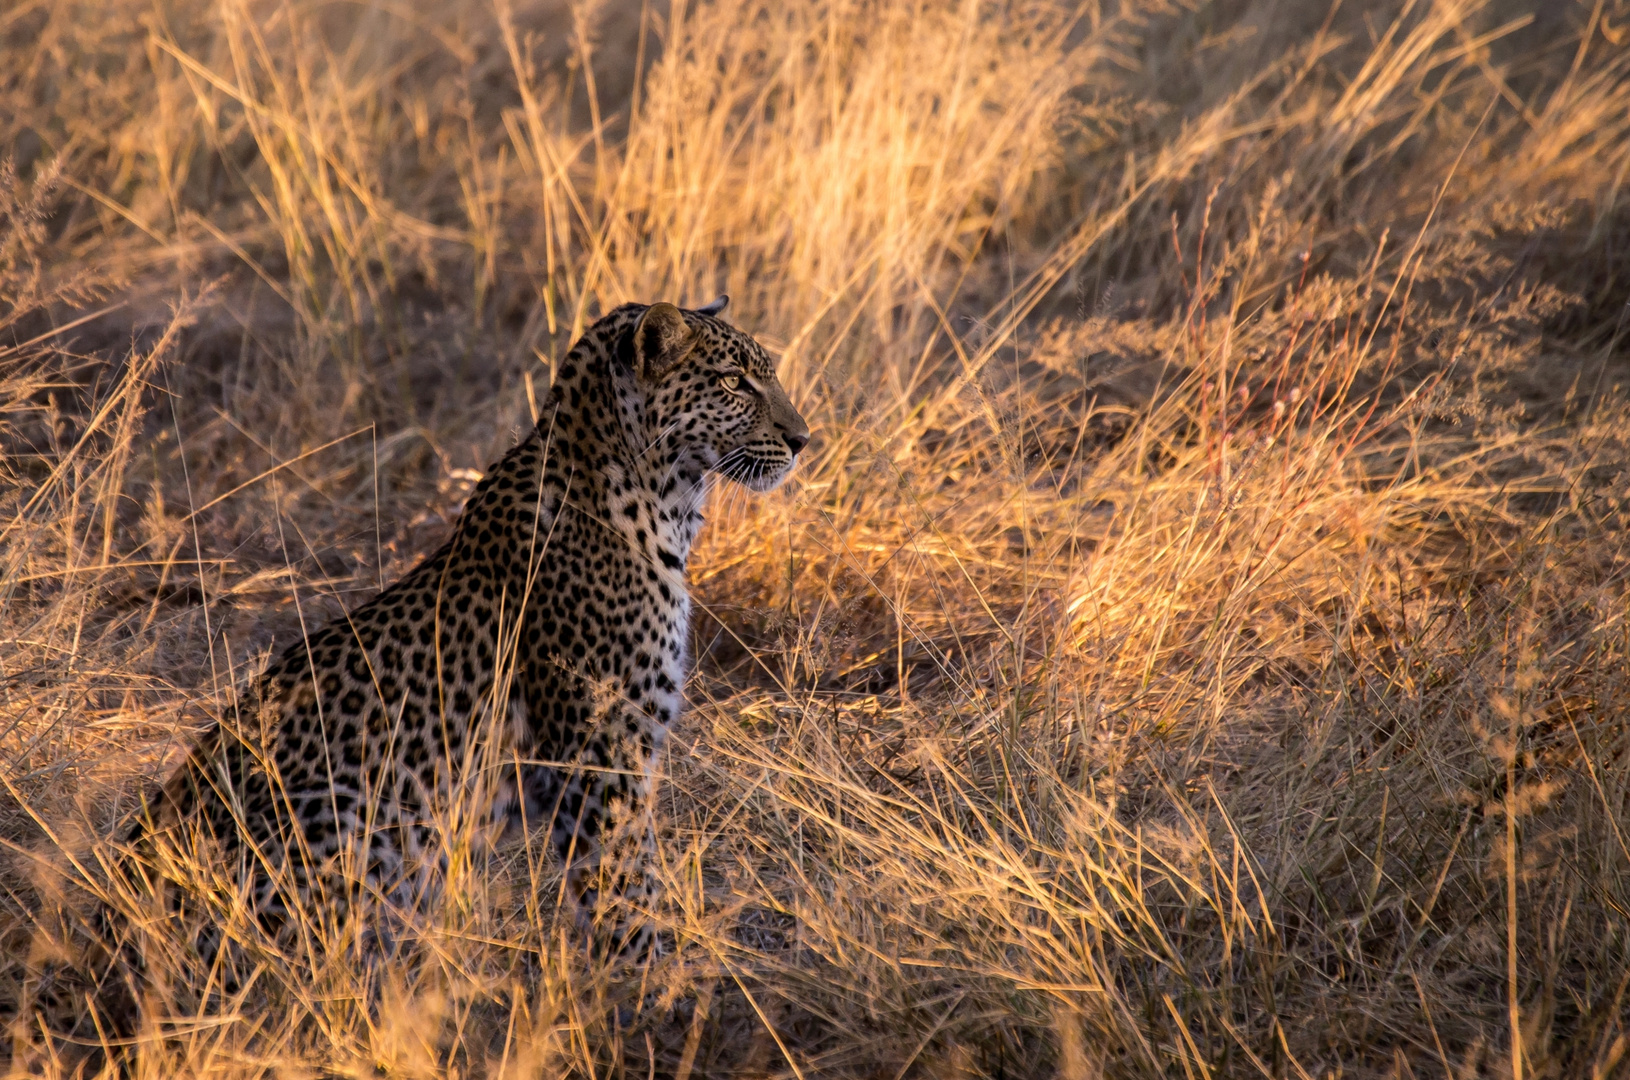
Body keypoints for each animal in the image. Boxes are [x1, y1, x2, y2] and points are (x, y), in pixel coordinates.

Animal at [9, 296, 805, 1055]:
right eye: (734, 382)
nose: (803, 439)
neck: (658, 501)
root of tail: (99, 953)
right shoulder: (602, 754)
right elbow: (624, 887)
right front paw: (660, 994)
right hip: (352, 818)